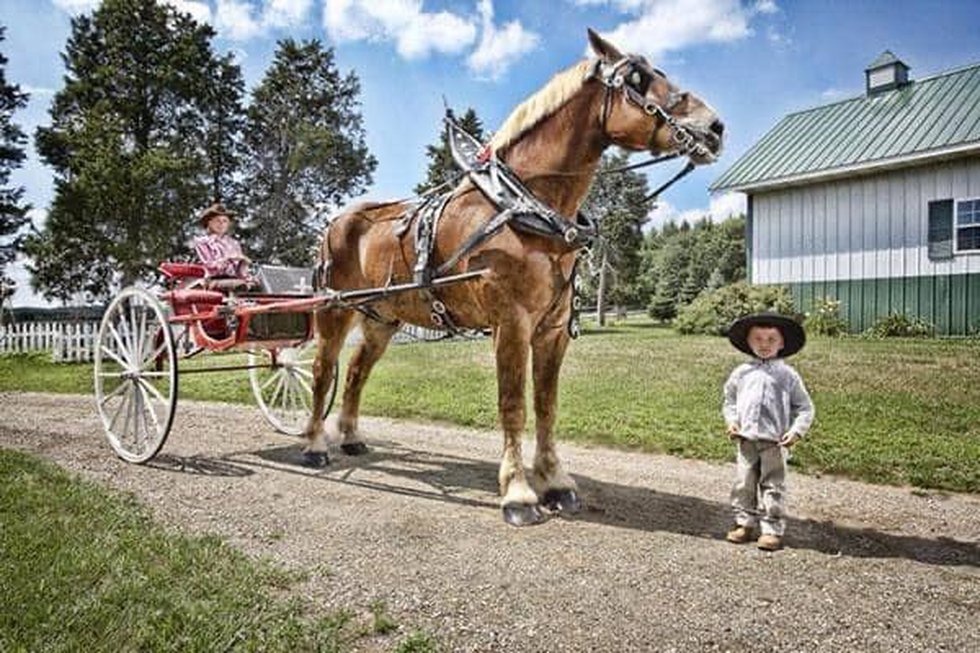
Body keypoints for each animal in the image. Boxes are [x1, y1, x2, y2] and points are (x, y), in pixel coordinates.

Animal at [303, 29, 724, 526]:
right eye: (637, 79)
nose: (715, 127)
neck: (526, 206)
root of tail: (336, 220)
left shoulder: (553, 329)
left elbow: (546, 405)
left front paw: (555, 481)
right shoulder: (512, 322)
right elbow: (513, 405)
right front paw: (519, 492)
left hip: (382, 317)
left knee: (355, 372)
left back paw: (350, 437)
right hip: (334, 309)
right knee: (323, 371)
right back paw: (314, 445)